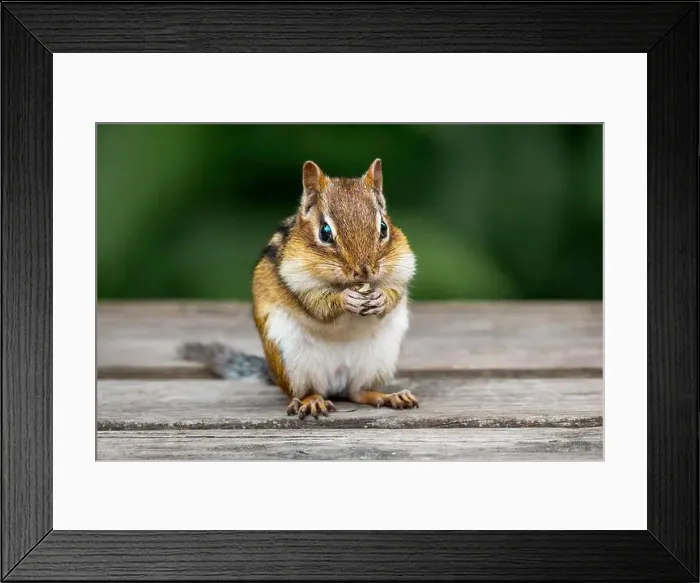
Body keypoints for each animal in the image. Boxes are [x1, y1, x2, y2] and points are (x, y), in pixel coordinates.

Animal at [180, 158, 418, 420]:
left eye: (384, 227)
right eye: (325, 232)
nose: (363, 272)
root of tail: (336, 381)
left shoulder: (403, 267)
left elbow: (395, 291)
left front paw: (380, 298)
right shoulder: (294, 277)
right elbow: (317, 305)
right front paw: (346, 299)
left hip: (378, 359)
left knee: (358, 392)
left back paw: (390, 396)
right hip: (291, 360)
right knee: (308, 391)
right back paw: (313, 402)